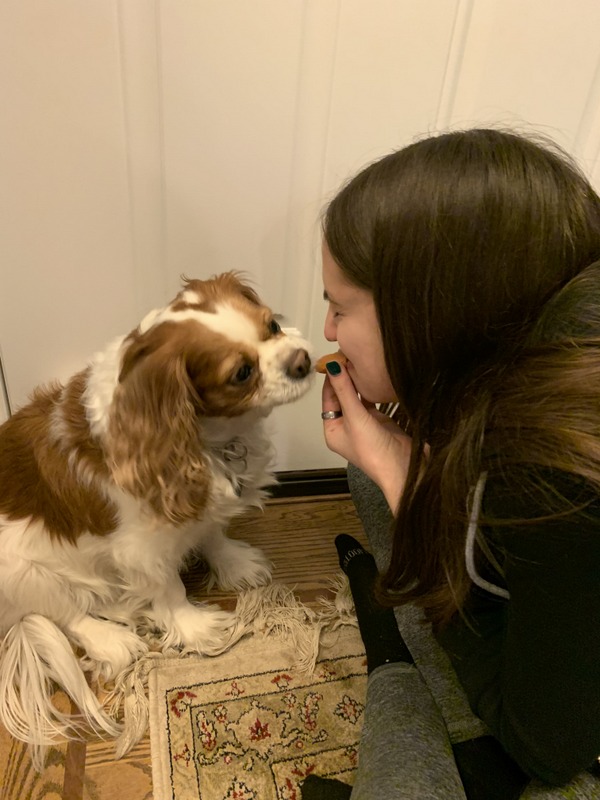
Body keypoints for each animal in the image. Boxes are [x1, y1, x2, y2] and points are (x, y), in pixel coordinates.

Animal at [0, 272, 313, 761]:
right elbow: (168, 587)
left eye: (273, 327)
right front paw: (195, 626)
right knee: (65, 613)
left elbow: (211, 532)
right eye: (241, 373)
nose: (303, 360)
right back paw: (115, 639)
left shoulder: (197, 507)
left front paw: (235, 564)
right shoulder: (141, 548)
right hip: (18, 570)